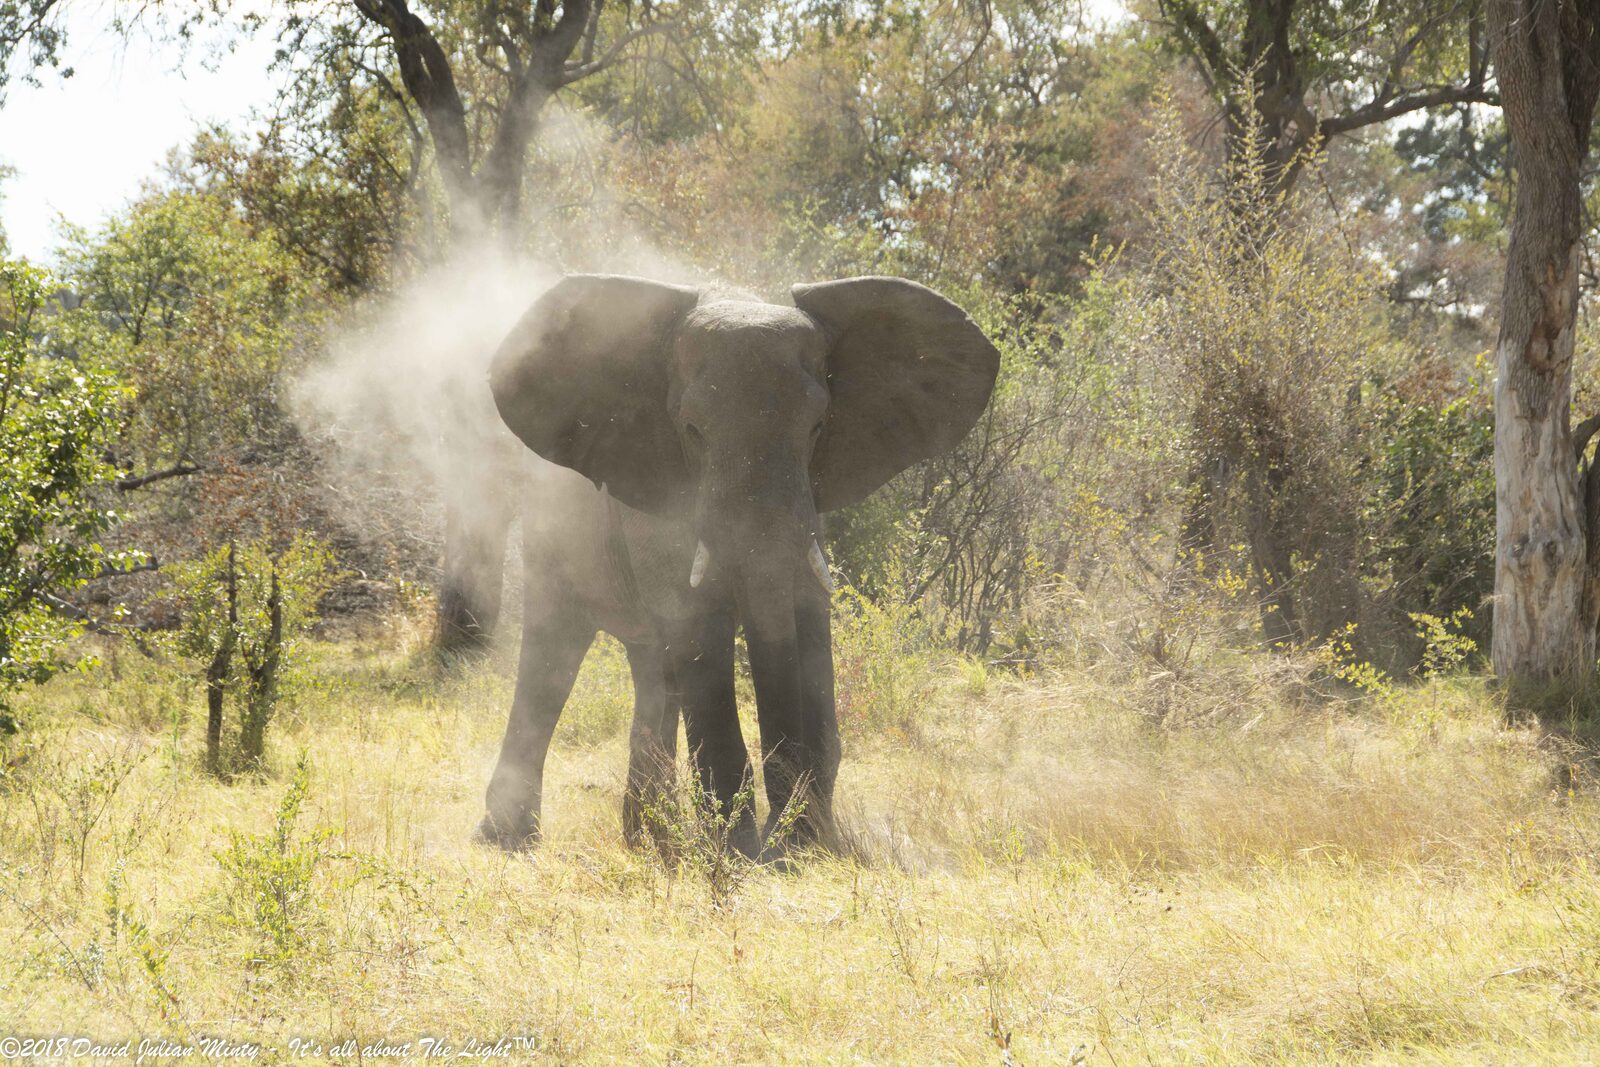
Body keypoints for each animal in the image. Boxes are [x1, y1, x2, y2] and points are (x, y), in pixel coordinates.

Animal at [477, 274, 1000, 856]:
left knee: (654, 668)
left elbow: (808, 619)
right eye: (692, 431)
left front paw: (803, 847)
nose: (785, 838)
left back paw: (650, 843)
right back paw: (509, 839)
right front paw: (739, 852)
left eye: (819, 427)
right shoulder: (659, 509)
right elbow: (698, 629)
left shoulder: (808, 516)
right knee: (552, 655)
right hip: (552, 533)